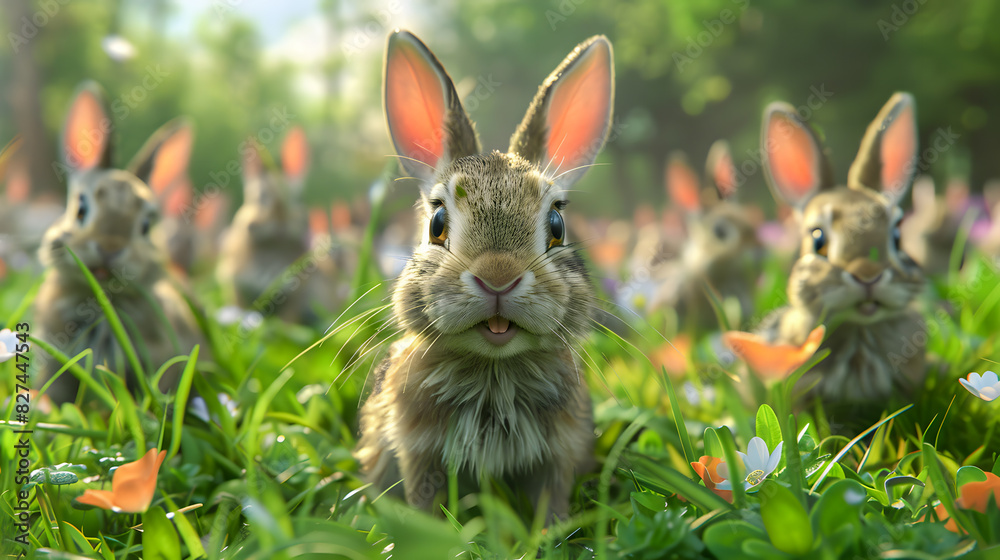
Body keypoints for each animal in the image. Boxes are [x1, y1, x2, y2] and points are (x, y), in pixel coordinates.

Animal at [216, 126, 315, 322]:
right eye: (260, 197)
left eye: (298, 199)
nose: (281, 220)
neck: (273, 244)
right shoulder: (236, 283)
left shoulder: (297, 293)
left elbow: (289, 319)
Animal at [354, 30, 614, 519]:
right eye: (437, 224)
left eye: (557, 225)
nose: (498, 278)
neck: (494, 370)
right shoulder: (418, 455)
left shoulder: (558, 456)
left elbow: (552, 499)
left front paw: (551, 529)